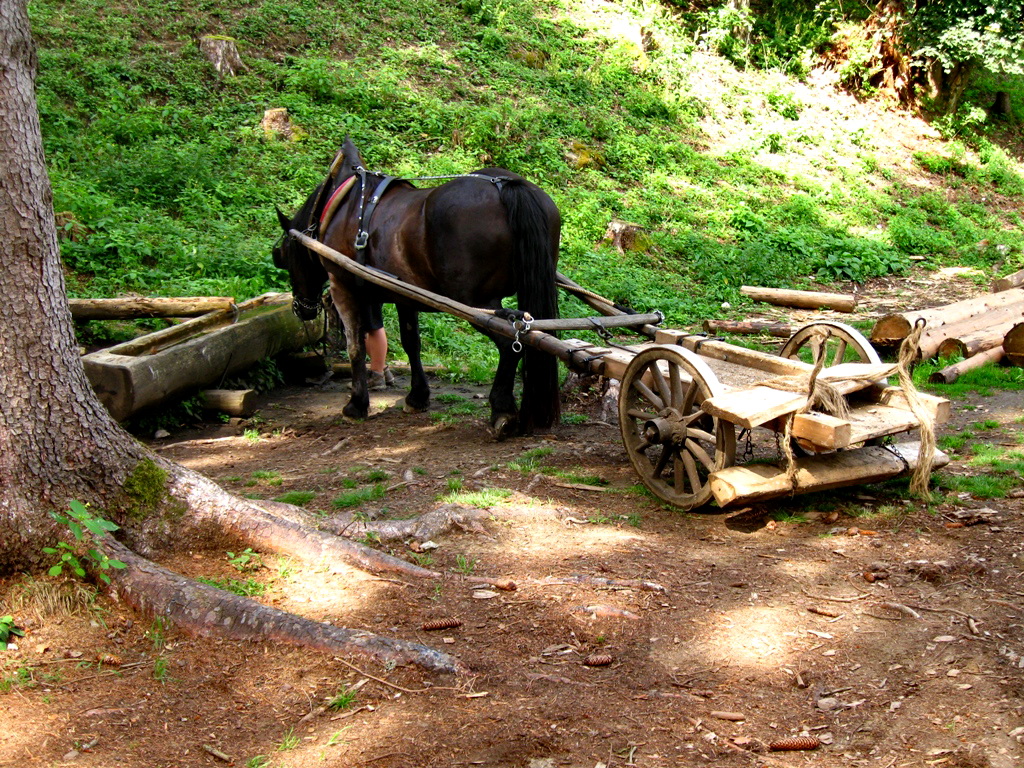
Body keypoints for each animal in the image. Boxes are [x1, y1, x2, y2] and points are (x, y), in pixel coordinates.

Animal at [272, 139, 561, 438]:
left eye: (282, 256)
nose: (302, 309)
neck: (342, 205)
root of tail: (508, 185)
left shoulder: (344, 287)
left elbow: (356, 347)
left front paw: (356, 404)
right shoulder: (405, 294)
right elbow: (411, 342)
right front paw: (417, 397)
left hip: (474, 302)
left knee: (510, 343)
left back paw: (502, 409)